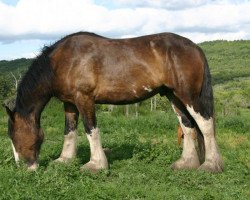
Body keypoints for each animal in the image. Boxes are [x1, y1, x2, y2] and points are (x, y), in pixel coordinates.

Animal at [3, 31, 224, 172]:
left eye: (14, 135)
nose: (24, 167)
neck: (62, 61)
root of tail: (195, 47)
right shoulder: (70, 104)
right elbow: (69, 132)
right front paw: (64, 160)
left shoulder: (84, 99)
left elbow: (90, 130)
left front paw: (95, 165)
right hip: (173, 96)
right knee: (187, 126)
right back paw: (186, 164)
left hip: (189, 95)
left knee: (205, 124)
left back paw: (211, 166)